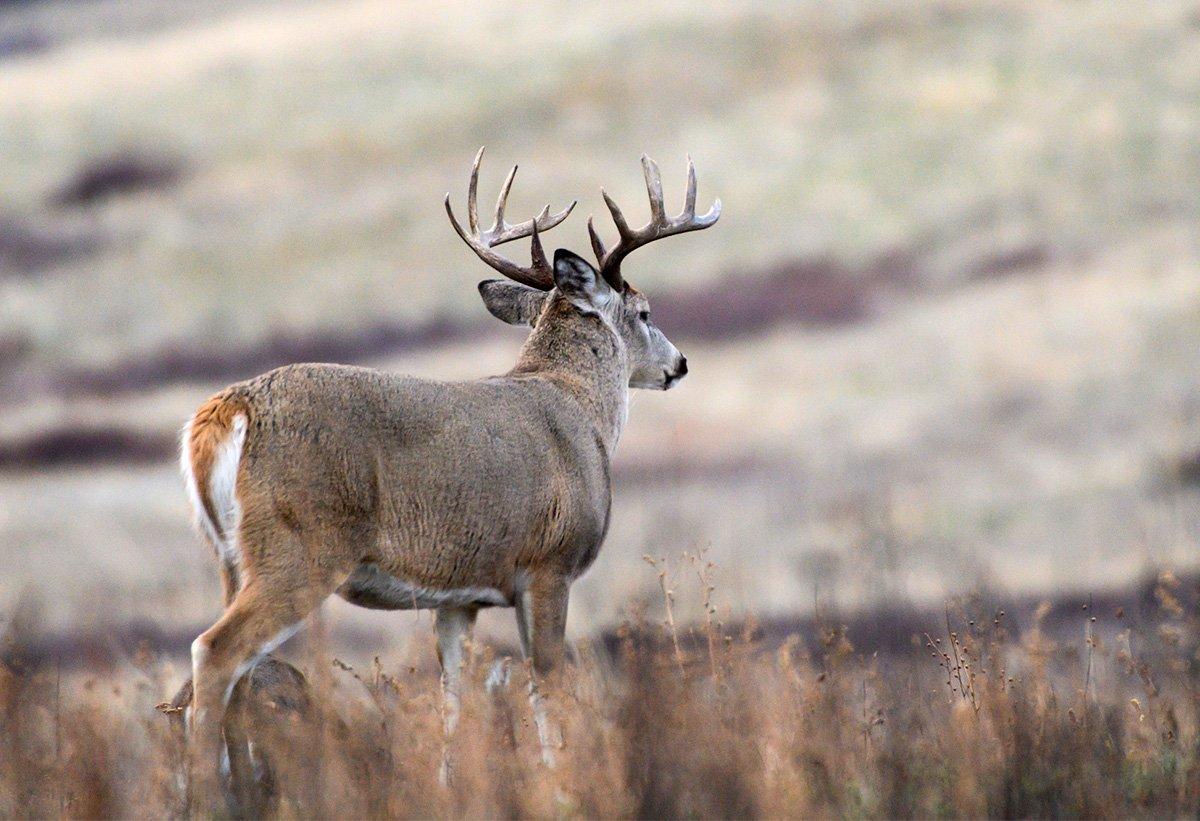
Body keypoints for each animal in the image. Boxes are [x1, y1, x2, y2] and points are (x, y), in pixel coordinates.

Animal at [178, 147, 720, 796]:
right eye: (644, 311)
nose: (680, 363)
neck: (581, 410)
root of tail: (226, 410)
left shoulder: (458, 596)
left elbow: (453, 697)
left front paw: (449, 785)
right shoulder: (549, 565)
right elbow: (546, 686)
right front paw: (559, 786)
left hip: (229, 557)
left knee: (242, 673)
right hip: (299, 547)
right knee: (215, 652)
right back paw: (209, 793)